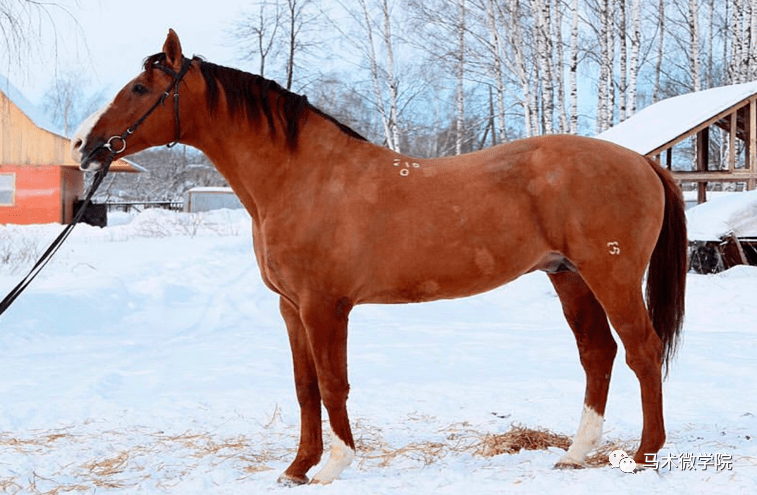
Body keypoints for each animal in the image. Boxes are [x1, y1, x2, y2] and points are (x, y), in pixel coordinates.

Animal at [71, 30, 684, 484]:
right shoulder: (291, 309)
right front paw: (297, 467)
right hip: (568, 276)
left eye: (139, 87)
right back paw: (576, 453)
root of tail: (639, 160)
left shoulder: (324, 307)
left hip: (611, 275)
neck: (303, 179)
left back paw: (645, 456)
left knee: (643, 351)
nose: (83, 146)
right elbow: (305, 388)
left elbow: (333, 383)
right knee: (598, 353)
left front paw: (334, 465)